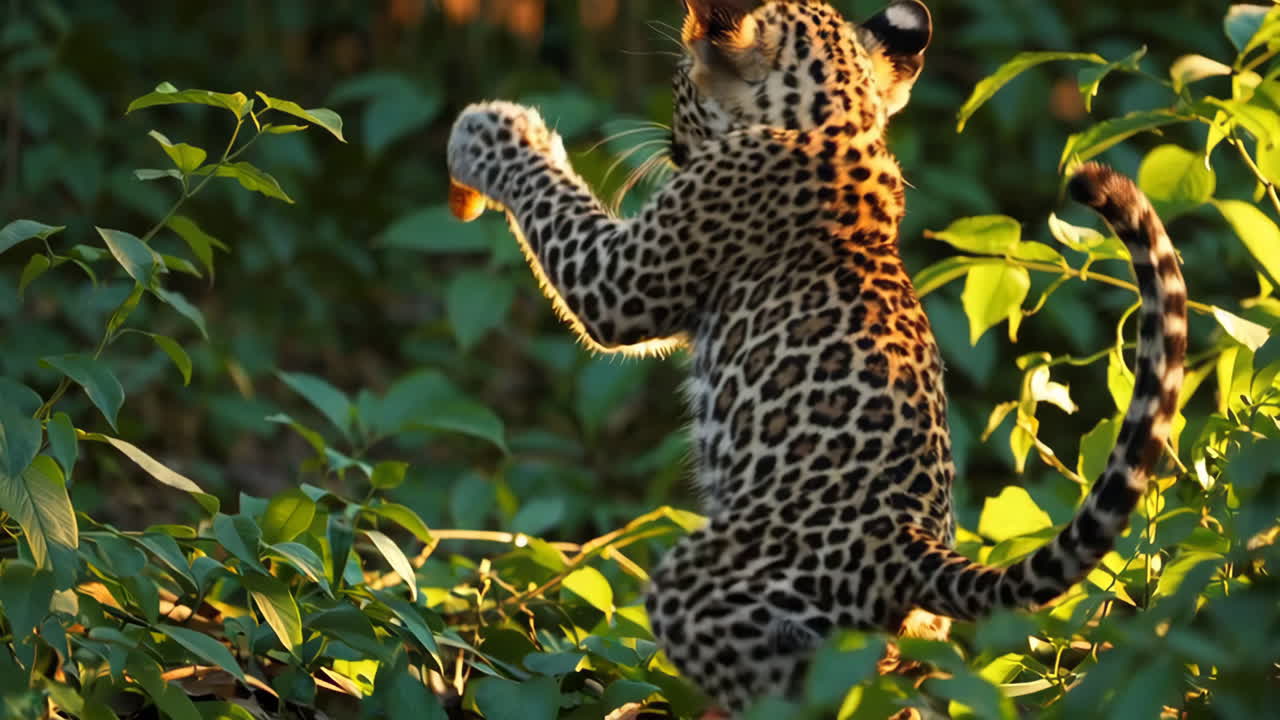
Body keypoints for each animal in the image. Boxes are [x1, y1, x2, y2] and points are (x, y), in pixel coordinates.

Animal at [445, 0, 1187, 715]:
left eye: (683, 84)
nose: (673, 148)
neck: (836, 112)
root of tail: (909, 548)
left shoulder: (625, 281)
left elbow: (559, 209)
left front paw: (496, 132)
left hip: (710, 578)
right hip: (908, 637)